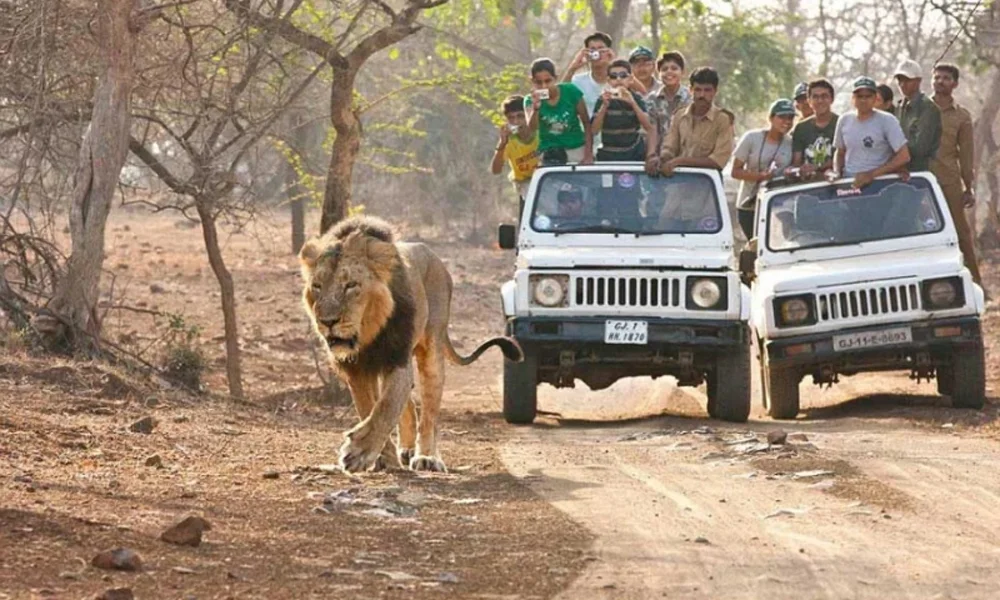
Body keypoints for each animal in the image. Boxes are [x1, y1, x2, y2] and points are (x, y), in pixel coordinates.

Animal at [299, 216, 522, 473]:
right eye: (317, 286)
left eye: (351, 285)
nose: (327, 321)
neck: (369, 333)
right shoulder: (357, 370)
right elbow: (370, 408)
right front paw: (382, 457)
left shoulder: (397, 357)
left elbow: (386, 407)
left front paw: (358, 452)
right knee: (409, 408)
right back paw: (405, 450)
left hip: (432, 350)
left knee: (429, 414)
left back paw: (426, 457)